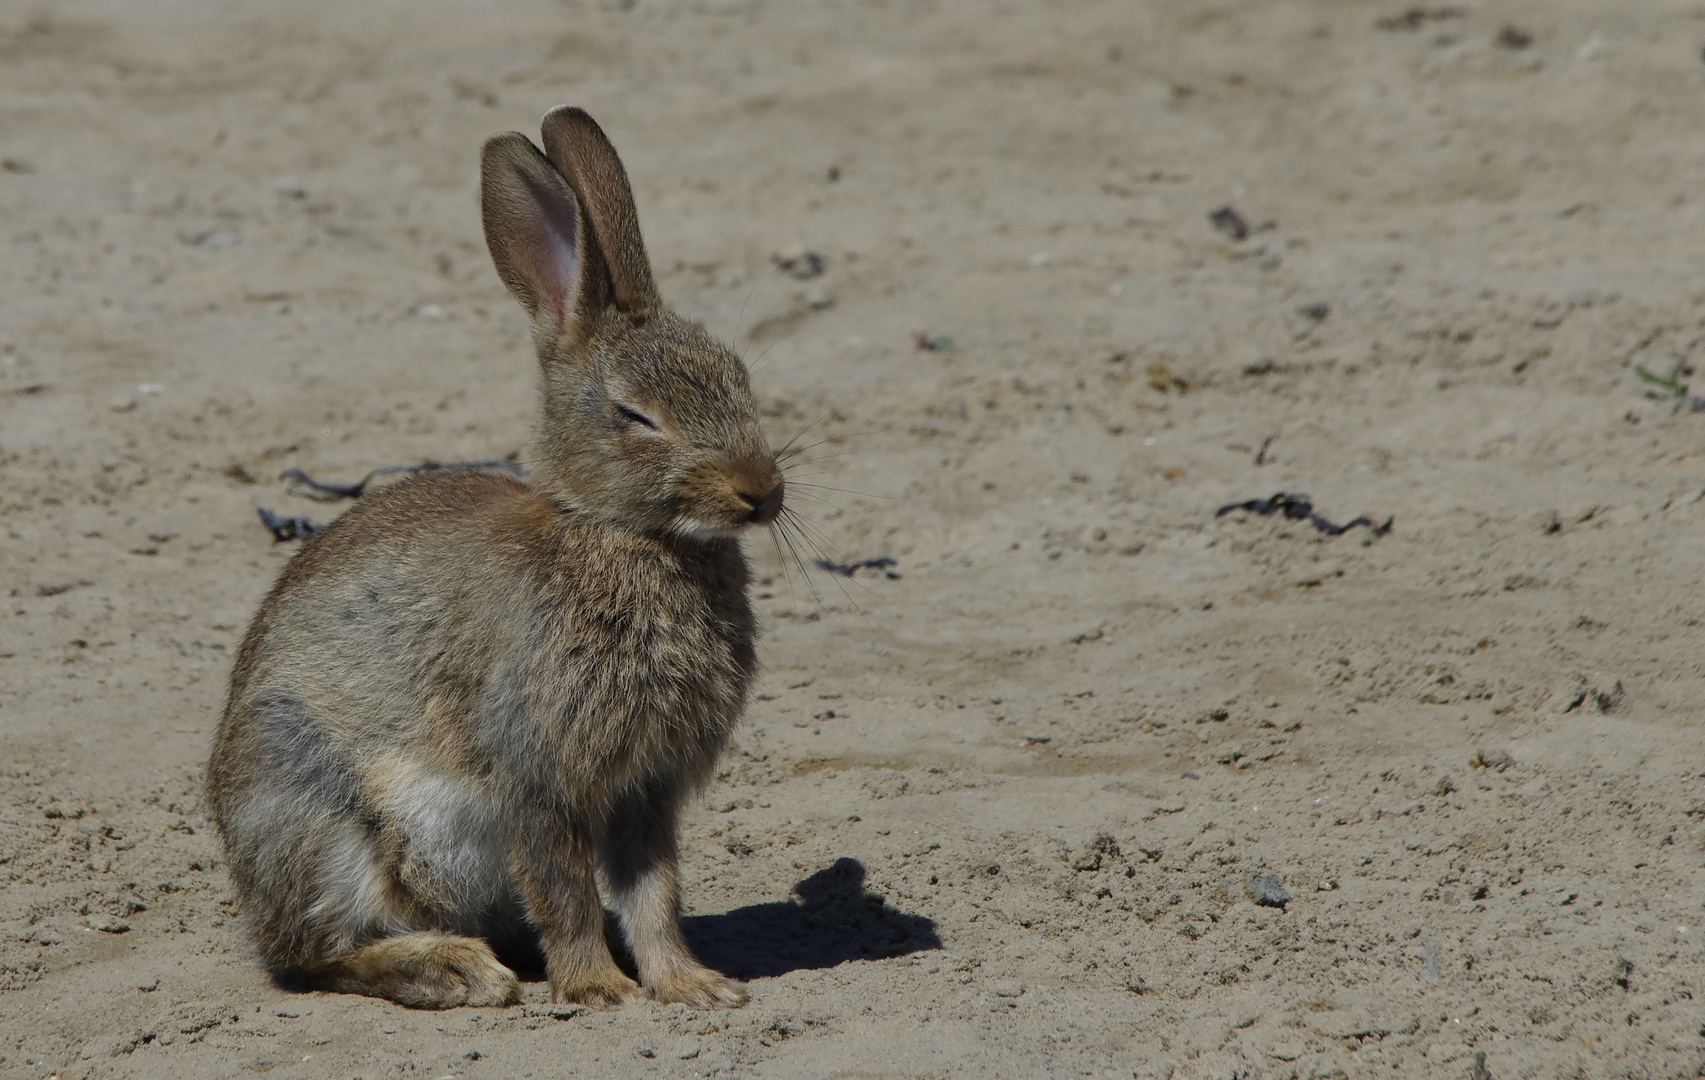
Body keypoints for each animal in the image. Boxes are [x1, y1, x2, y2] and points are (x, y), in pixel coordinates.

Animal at [208, 105, 784, 1010]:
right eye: (634, 415)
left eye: (737, 378)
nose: (761, 492)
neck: (618, 534)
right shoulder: (536, 773)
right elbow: (565, 886)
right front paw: (599, 988)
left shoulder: (647, 791)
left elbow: (653, 892)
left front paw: (690, 984)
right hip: (308, 801)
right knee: (318, 955)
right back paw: (452, 969)